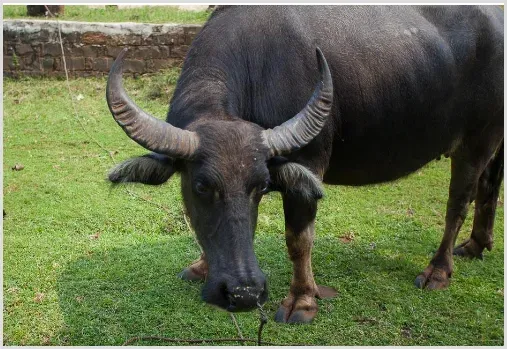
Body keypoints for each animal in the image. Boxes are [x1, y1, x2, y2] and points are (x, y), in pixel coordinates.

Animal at [107, 5, 504, 324]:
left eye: (261, 186)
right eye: (201, 186)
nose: (244, 294)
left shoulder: (307, 163)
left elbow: (298, 239)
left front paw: (301, 301)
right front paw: (203, 267)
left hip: (476, 141)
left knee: (459, 202)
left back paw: (438, 270)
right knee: (490, 186)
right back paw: (476, 245)